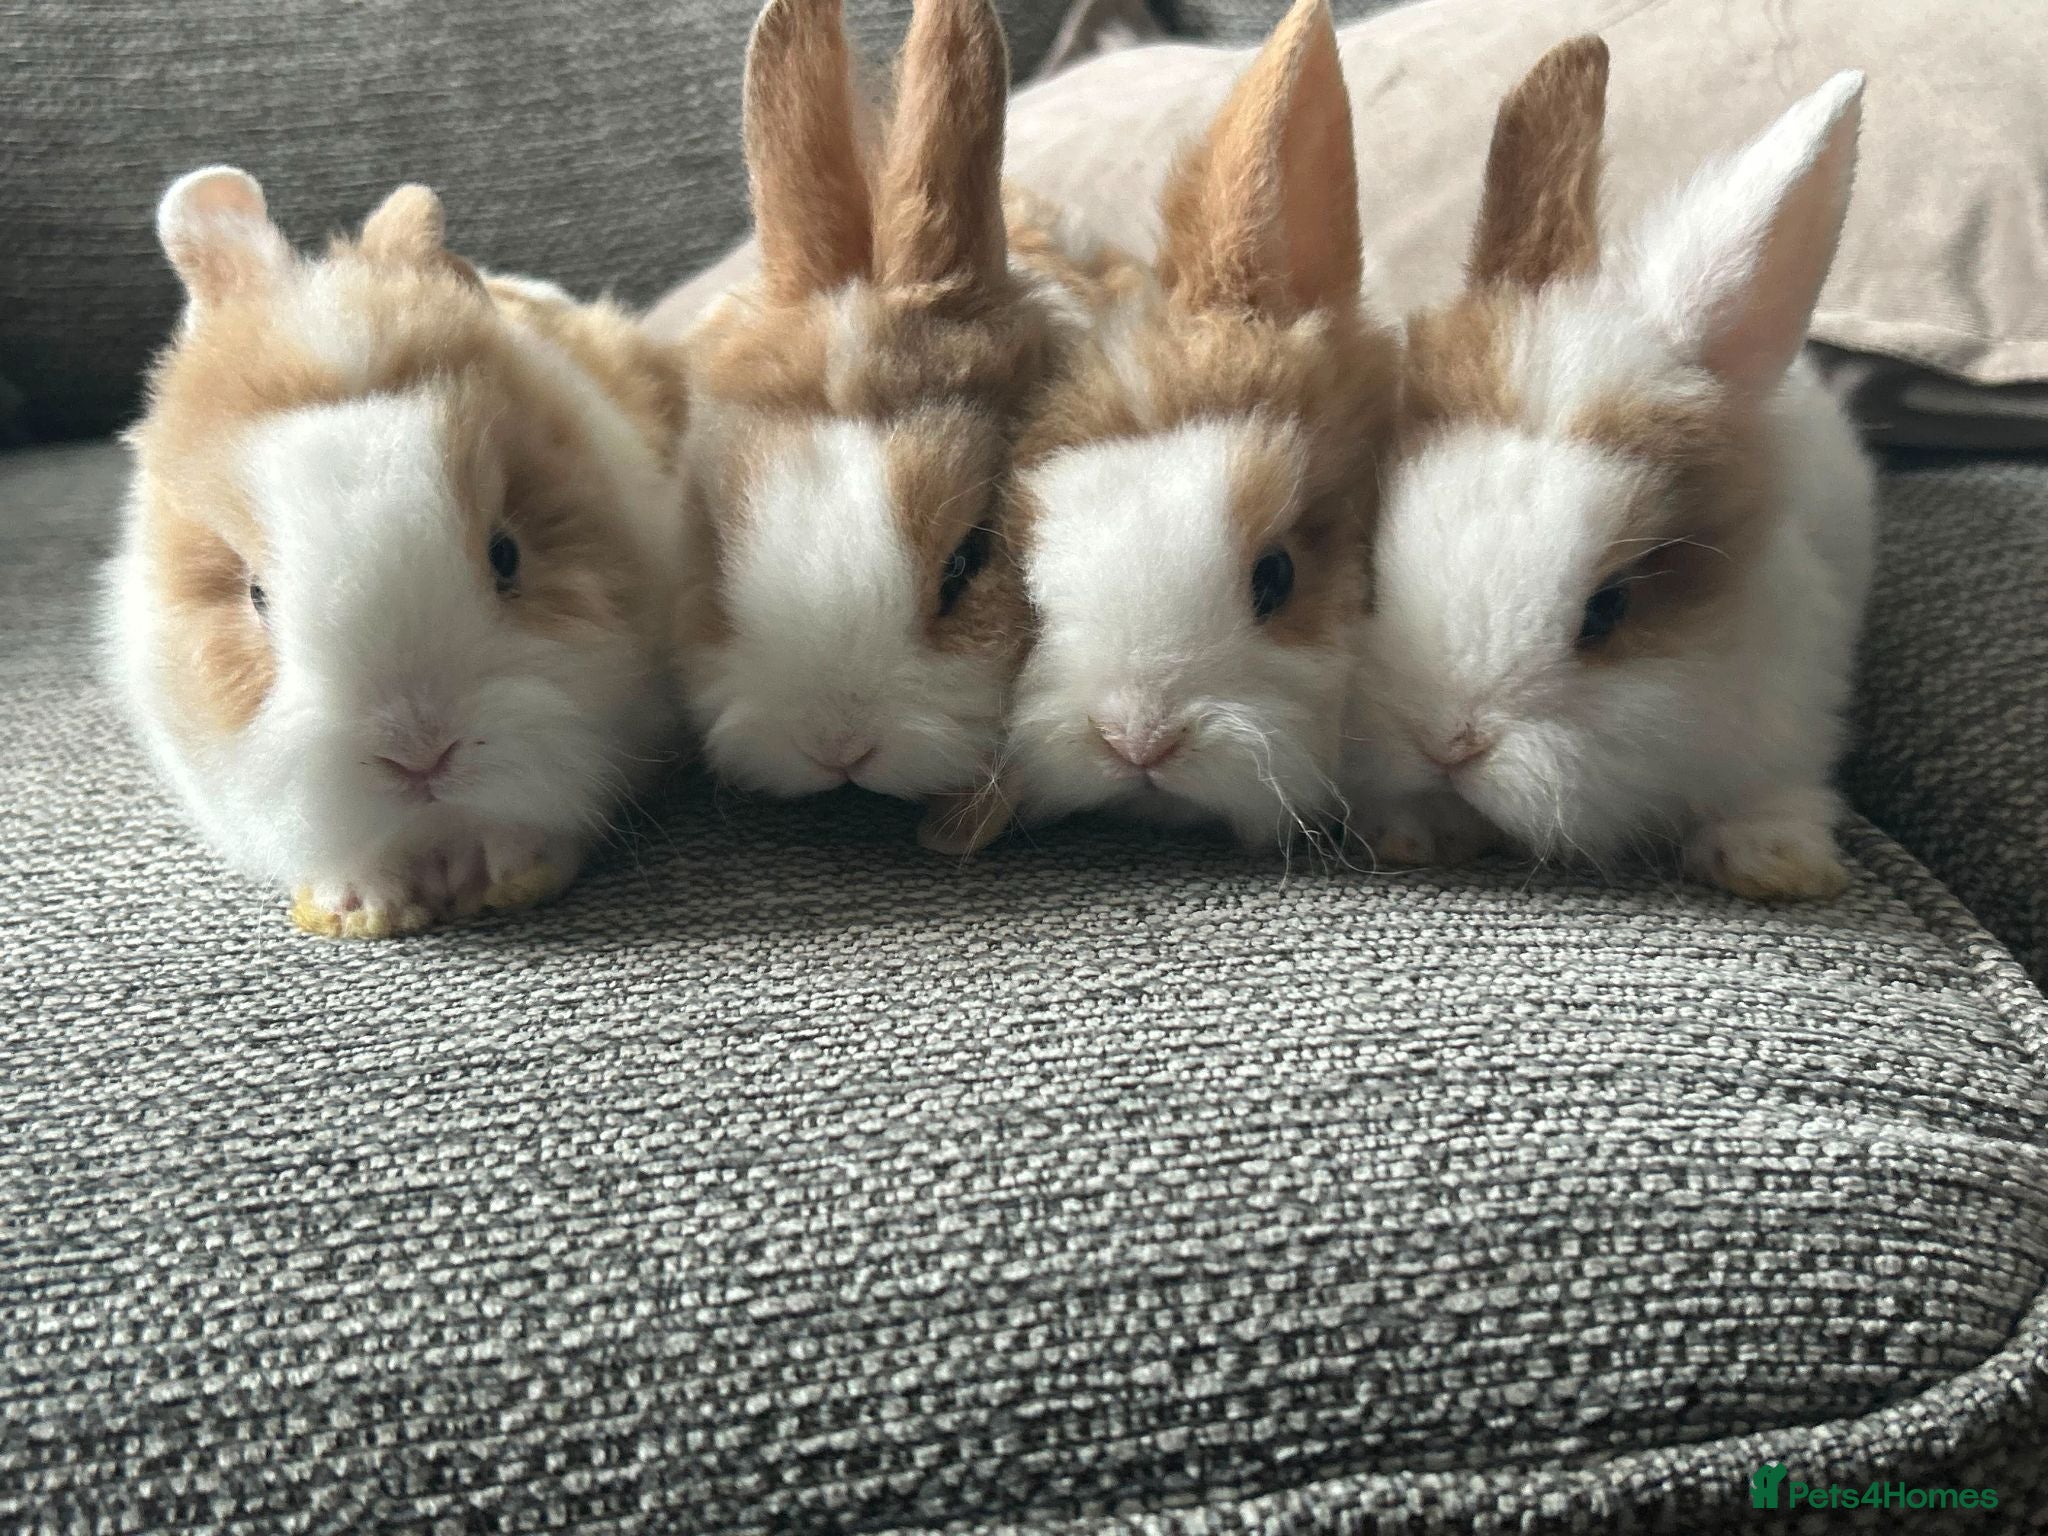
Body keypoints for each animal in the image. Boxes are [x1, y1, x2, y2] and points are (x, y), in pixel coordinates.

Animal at [1340, 37, 1877, 900]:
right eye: (1373, 567)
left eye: (1609, 608)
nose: (1448, 743)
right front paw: (1414, 831)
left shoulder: (1795, 708)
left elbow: (1775, 792)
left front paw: (1773, 865)